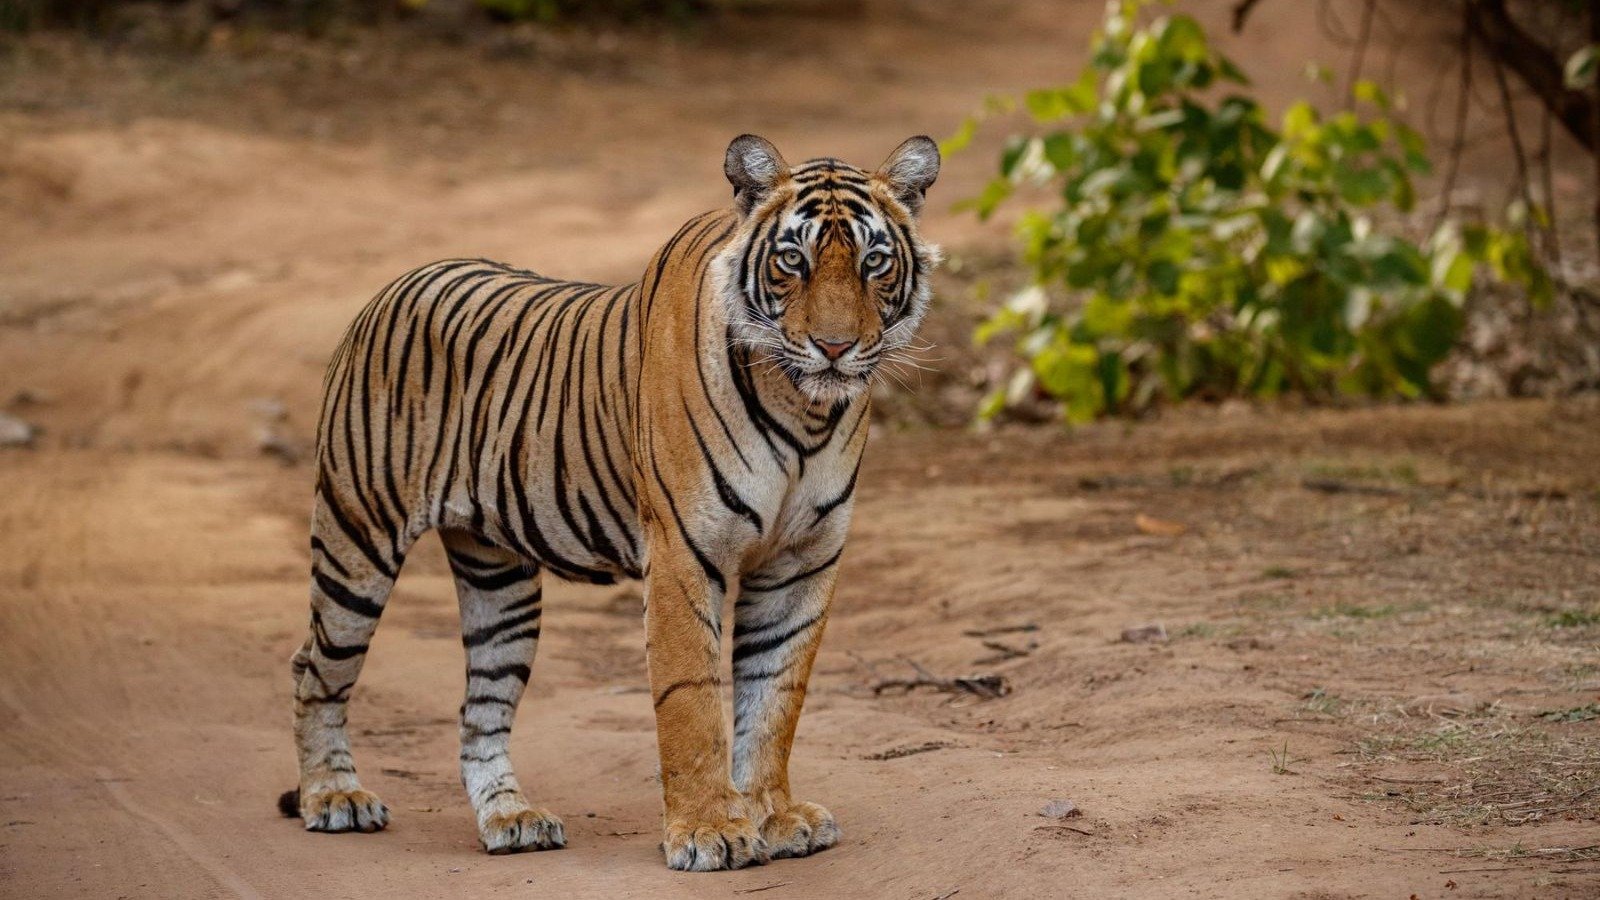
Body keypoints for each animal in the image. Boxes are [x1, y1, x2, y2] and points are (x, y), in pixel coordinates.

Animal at [279, 134, 941, 871]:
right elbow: (691, 699)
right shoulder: (686, 555)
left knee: (480, 710)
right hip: (356, 540)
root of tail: (394, 285)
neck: (805, 412)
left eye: (873, 261)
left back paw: (512, 818)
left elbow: (775, 696)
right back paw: (334, 797)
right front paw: (710, 831)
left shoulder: (802, 563)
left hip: (500, 585)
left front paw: (774, 816)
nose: (834, 347)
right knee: (314, 669)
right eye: (791, 260)